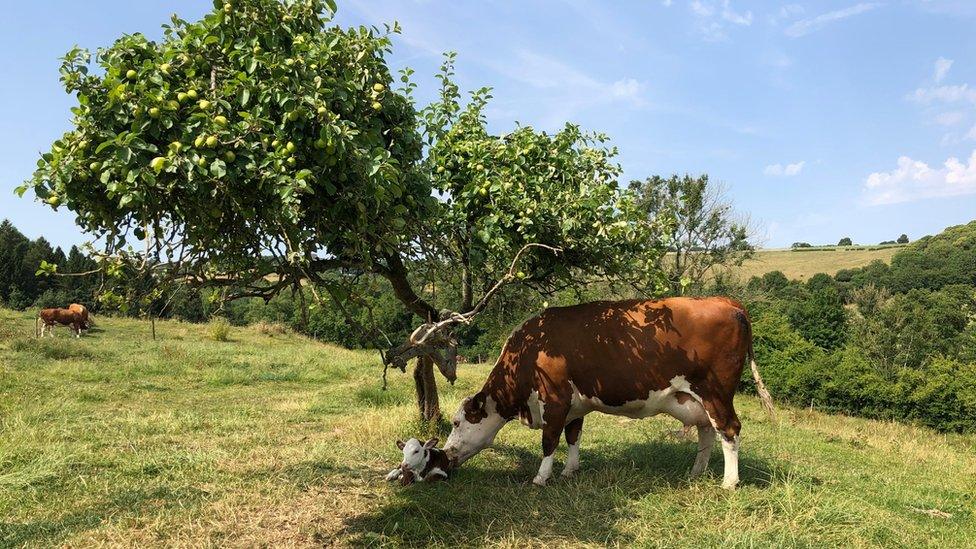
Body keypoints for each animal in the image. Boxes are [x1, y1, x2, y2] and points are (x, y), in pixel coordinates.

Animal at [442, 298, 772, 490]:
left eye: (457, 423)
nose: (445, 454)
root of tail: (725, 301)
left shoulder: (555, 398)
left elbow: (549, 441)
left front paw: (541, 477)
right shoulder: (575, 405)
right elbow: (573, 437)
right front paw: (570, 471)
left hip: (716, 392)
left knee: (729, 430)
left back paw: (729, 482)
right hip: (696, 399)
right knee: (706, 433)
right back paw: (696, 472)